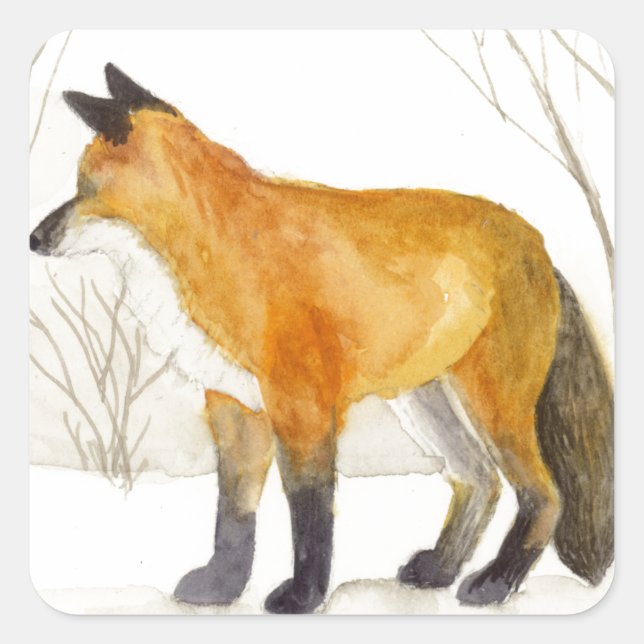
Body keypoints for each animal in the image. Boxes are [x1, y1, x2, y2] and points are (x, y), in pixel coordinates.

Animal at [30, 64, 614, 613]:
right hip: (425, 402)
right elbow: (233, 514)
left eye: (84, 187)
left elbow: (309, 513)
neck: (219, 245)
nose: (34, 239)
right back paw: (440, 570)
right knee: (479, 480)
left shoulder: (302, 405)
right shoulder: (234, 406)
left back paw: (495, 582)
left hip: (494, 407)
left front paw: (303, 596)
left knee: (545, 495)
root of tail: (538, 245)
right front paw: (222, 587)